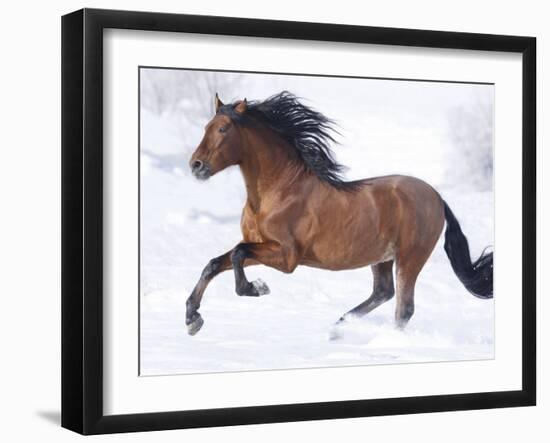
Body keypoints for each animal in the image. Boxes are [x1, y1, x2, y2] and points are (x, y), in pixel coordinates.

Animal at [187, 91, 496, 336]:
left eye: (223, 129)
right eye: (206, 126)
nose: (196, 165)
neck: (278, 192)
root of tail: (437, 197)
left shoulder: (286, 257)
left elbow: (237, 254)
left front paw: (257, 288)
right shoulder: (262, 246)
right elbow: (216, 263)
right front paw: (192, 318)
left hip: (410, 257)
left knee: (403, 308)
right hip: (382, 257)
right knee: (383, 293)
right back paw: (337, 329)